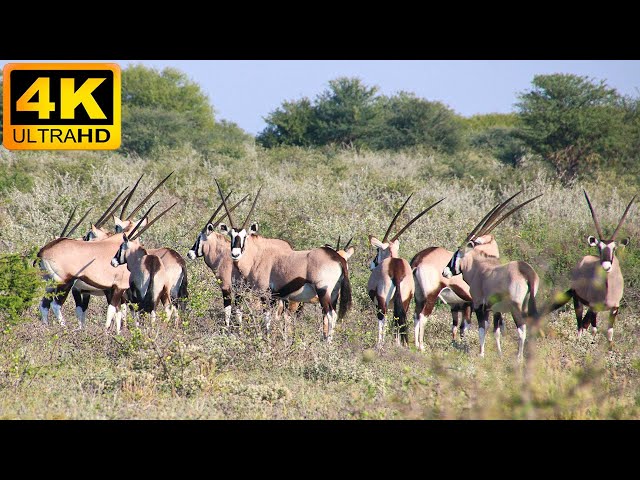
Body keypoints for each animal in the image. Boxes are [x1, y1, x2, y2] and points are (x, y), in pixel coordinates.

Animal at [218, 180, 352, 342]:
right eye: (231, 236)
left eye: (245, 237)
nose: (235, 254)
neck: (258, 256)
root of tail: (336, 257)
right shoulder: (278, 297)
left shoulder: (265, 294)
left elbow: (267, 318)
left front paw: (267, 338)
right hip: (333, 294)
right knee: (334, 315)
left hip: (323, 292)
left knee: (330, 315)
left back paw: (326, 343)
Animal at [364, 193, 444, 346]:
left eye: (378, 250)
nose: (371, 265)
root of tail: (396, 271)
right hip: (405, 300)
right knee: (399, 320)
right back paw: (400, 344)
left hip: (382, 301)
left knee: (384, 318)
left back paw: (380, 344)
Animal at [442, 192, 544, 360]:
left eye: (457, 253)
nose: (445, 272)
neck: (478, 267)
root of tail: (527, 272)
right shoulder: (496, 310)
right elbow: (496, 332)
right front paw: (499, 354)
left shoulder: (479, 304)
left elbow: (482, 329)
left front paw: (481, 354)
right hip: (526, 305)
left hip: (516, 307)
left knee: (521, 330)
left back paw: (519, 358)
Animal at [540, 189, 636, 344]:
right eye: (599, 247)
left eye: (614, 248)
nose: (606, 266)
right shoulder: (594, 307)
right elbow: (593, 330)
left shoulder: (615, 308)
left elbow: (609, 333)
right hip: (578, 300)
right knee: (580, 324)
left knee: (584, 324)